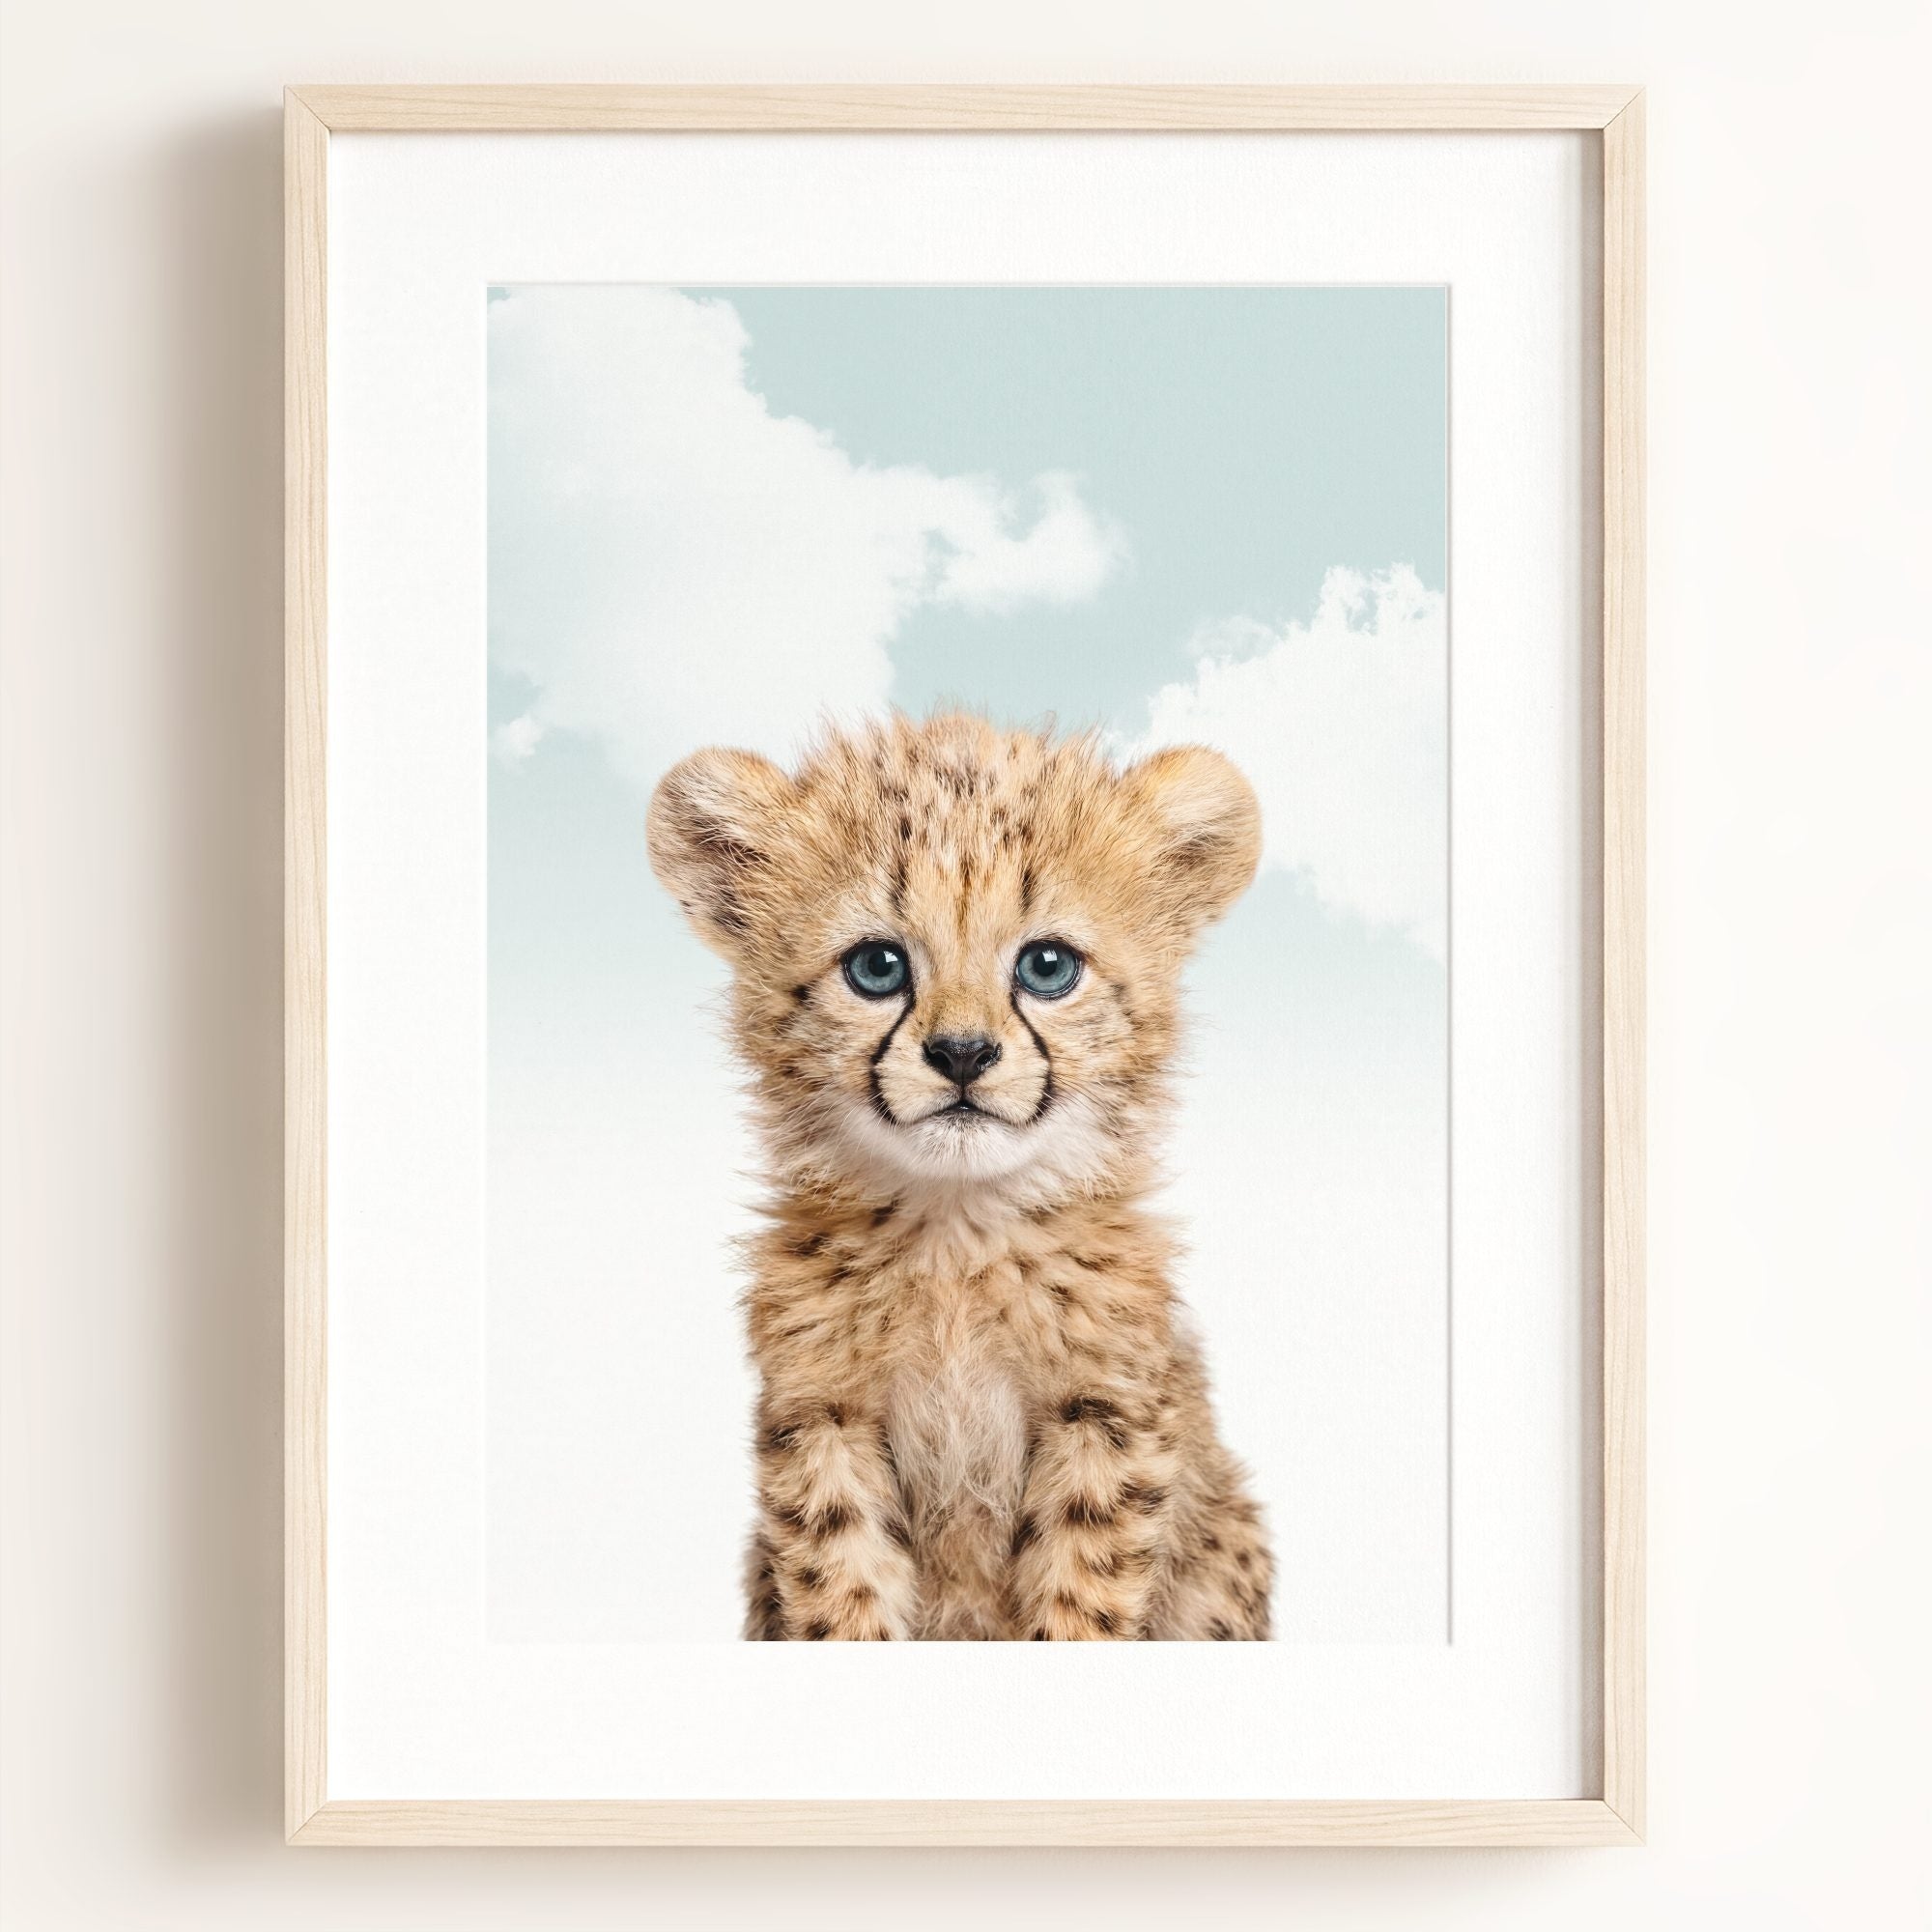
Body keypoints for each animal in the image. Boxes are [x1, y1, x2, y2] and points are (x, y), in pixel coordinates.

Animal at [647, 710, 1272, 1639]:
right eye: (877, 966)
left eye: (1047, 966)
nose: (963, 1054)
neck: (957, 1233)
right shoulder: (823, 1419)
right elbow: (842, 1592)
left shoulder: (1105, 1415)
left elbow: (1082, 1597)